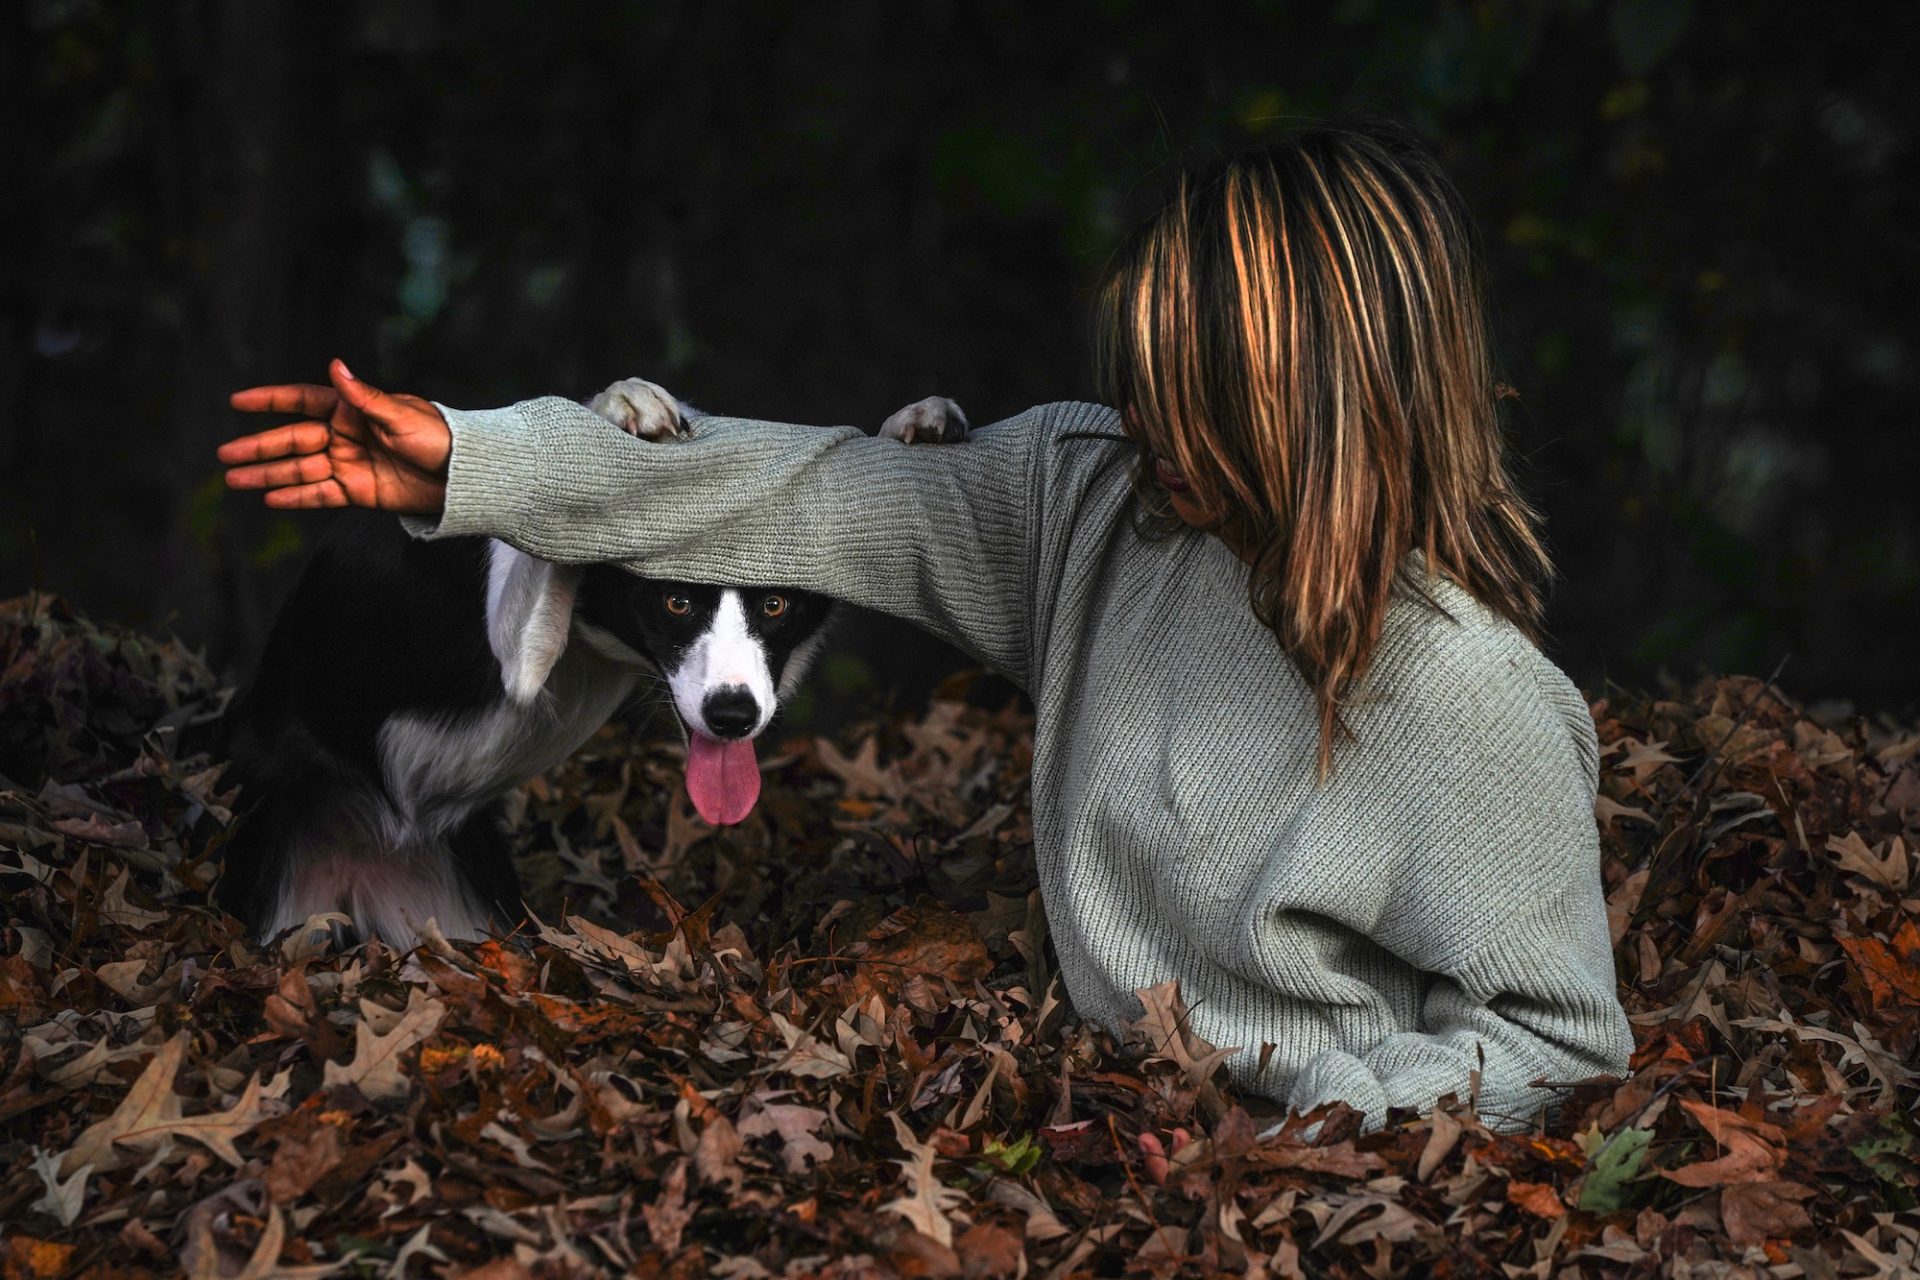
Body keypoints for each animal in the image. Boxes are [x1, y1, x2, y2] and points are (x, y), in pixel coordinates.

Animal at [217, 376, 967, 948]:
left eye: (776, 604)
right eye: (675, 602)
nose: (733, 716)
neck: (598, 632)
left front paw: (918, 425)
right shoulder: (516, 656)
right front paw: (620, 409)